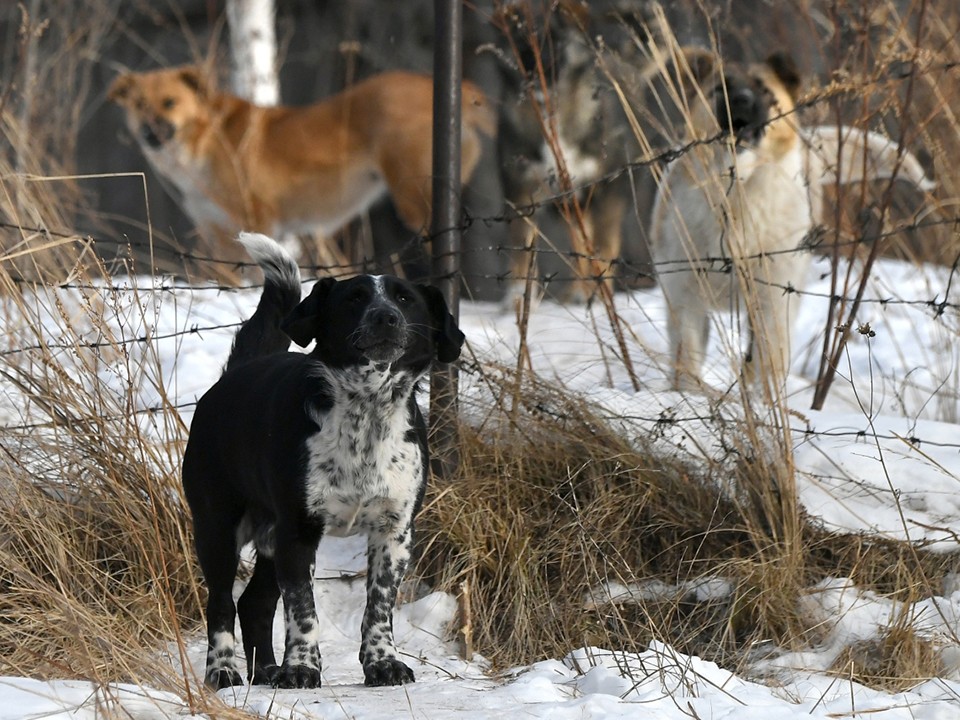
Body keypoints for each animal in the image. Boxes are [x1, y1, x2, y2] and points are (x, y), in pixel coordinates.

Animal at [110, 67, 496, 264]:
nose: (149, 133)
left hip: (415, 199)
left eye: (169, 102)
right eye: (139, 105)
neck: (204, 140)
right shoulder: (216, 233)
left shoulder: (257, 220)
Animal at [183, 233, 464, 688]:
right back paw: (223, 671)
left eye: (405, 299)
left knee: (255, 603)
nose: (385, 317)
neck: (367, 412)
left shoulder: (395, 531)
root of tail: (232, 377)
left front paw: (382, 662)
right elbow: (303, 611)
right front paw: (301, 668)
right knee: (222, 603)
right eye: (354, 298)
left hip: (268, 536)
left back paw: (266, 671)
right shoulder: (299, 532)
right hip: (218, 528)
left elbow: (379, 607)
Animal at [648, 50, 932, 390]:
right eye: (720, 88)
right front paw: (689, 396)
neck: (737, 196)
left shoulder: (772, 303)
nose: (741, 100)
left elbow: (767, 364)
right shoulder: (684, 297)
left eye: (764, 90)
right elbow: (687, 361)